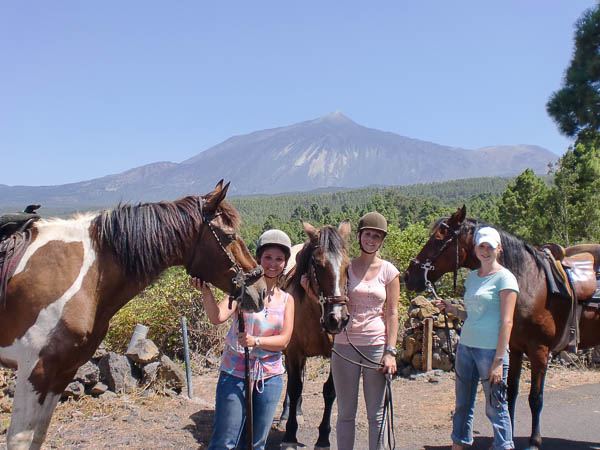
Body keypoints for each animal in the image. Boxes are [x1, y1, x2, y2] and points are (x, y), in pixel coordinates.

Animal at [0, 180, 267, 450]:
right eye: (229, 236)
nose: (262, 289)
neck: (89, 273)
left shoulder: (63, 369)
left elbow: (39, 435)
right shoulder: (34, 369)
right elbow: (20, 439)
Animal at [280, 220, 351, 449]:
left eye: (347, 265)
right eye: (318, 265)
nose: (337, 318)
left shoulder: (336, 354)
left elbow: (330, 391)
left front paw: (323, 437)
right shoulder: (294, 352)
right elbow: (294, 387)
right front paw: (290, 434)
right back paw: (287, 414)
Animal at [403, 206, 600, 449]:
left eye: (439, 237)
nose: (408, 276)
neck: (529, 283)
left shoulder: (539, 350)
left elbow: (535, 398)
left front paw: (534, 441)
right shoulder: (514, 348)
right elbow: (510, 393)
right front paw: (508, 435)